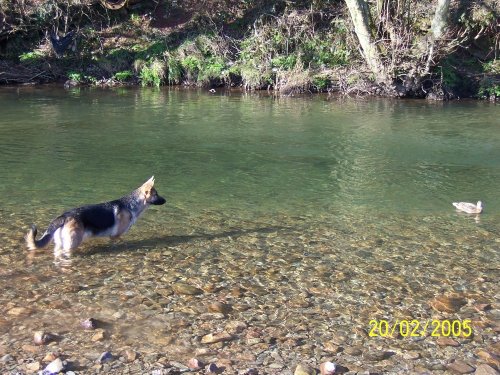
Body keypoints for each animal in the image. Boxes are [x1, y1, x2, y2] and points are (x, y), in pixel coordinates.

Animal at [26, 178, 166, 258]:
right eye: (157, 194)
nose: (166, 200)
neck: (131, 204)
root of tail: (64, 216)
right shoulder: (115, 236)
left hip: (60, 244)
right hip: (72, 243)